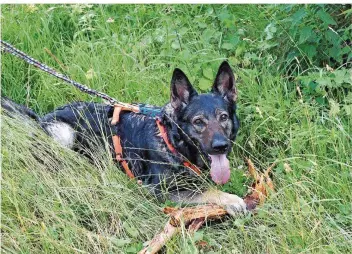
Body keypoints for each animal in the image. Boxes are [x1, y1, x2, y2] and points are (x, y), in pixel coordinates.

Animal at [0, 61, 248, 214]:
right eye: (198, 122)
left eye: (223, 117)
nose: (220, 146)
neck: (171, 139)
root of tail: (39, 119)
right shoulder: (160, 191)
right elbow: (206, 190)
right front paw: (232, 199)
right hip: (64, 132)